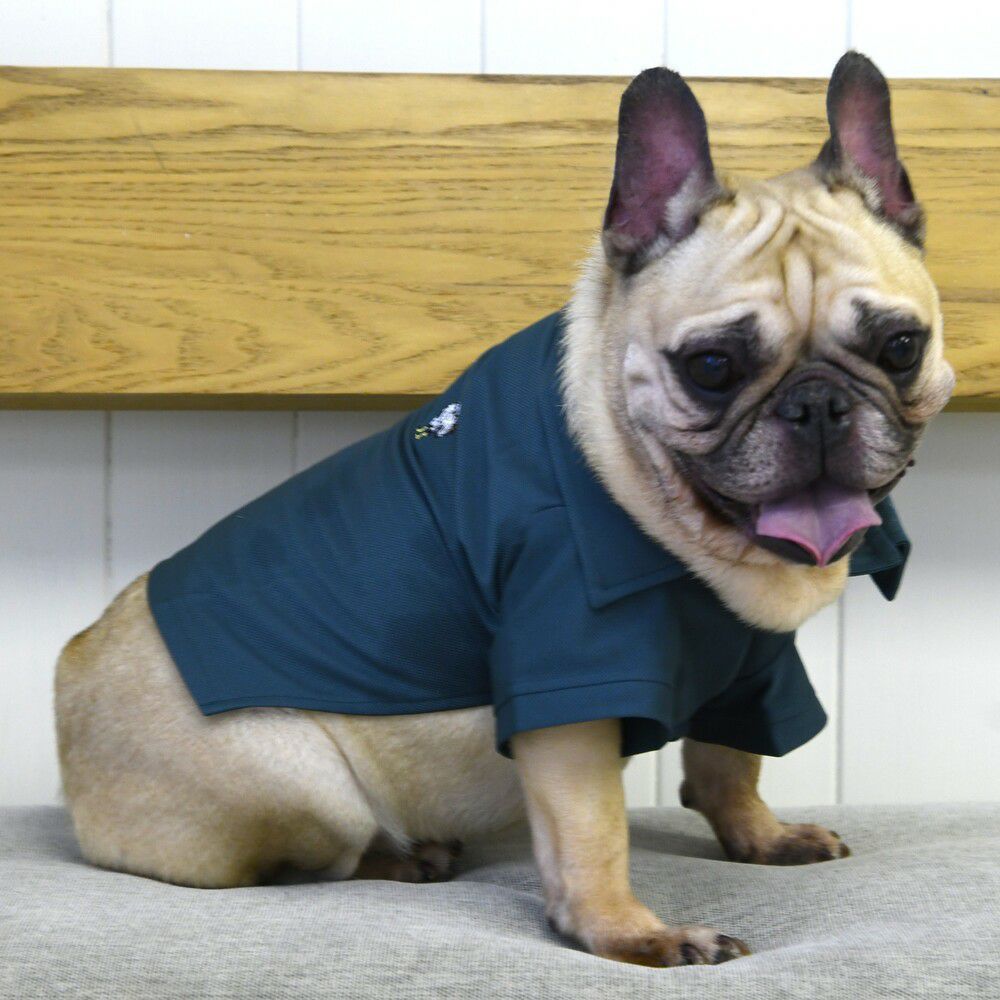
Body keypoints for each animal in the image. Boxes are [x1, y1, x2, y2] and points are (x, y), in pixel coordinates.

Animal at [55, 52, 954, 967]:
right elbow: (593, 835)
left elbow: (731, 760)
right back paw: (406, 856)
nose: (817, 406)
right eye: (711, 367)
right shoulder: (570, 684)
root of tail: (72, 678)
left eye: (900, 347)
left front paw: (760, 837)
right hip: (301, 782)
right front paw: (631, 934)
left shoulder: (756, 666)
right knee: (312, 860)